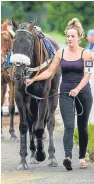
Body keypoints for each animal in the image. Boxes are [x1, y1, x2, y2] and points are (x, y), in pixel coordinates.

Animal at [10, 17, 60, 170]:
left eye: (28, 44)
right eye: (14, 43)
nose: (18, 74)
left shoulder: (43, 95)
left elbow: (39, 127)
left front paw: (41, 154)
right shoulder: (20, 95)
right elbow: (24, 125)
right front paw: (23, 159)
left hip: (53, 93)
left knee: (48, 122)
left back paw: (51, 156)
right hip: (30, 100)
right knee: (32, 121)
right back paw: (32, 153)